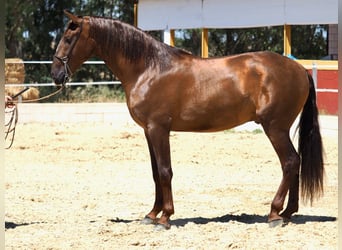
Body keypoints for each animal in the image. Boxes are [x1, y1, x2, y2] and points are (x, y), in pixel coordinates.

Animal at [50, 11, 324, 230]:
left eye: (68, 38)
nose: (55, 75)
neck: (148, 68)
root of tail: (300, 70)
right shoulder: (149, 131)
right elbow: (155, 173)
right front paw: (152, 214)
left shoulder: (159, 128)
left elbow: (165, 171)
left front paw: (165, 218)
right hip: (281, 128)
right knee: (296, 162)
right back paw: (288, 213)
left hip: (275, 128)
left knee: (290, 162)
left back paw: (275, 214)